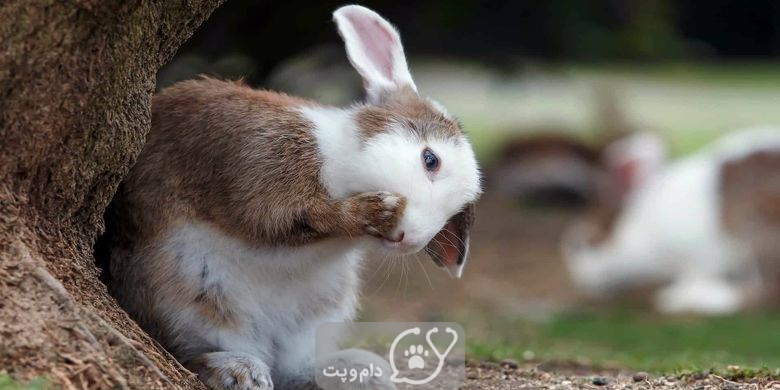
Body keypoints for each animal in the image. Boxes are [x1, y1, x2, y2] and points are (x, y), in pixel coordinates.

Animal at [103, 4, 482, 388]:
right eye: (430, 160)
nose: (409, 239)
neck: (339, 156)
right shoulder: (261, 175)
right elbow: (290, 219)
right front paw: (377, 209)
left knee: (293, 370)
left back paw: (360, 369)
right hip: (194, 295)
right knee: (194, 350)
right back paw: (239, 371)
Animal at [560, 126, 780, 316]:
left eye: (579, 244)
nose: (578, 280)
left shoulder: (701, 260)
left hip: (754, 230)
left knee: (765, 293)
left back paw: (674, 298)